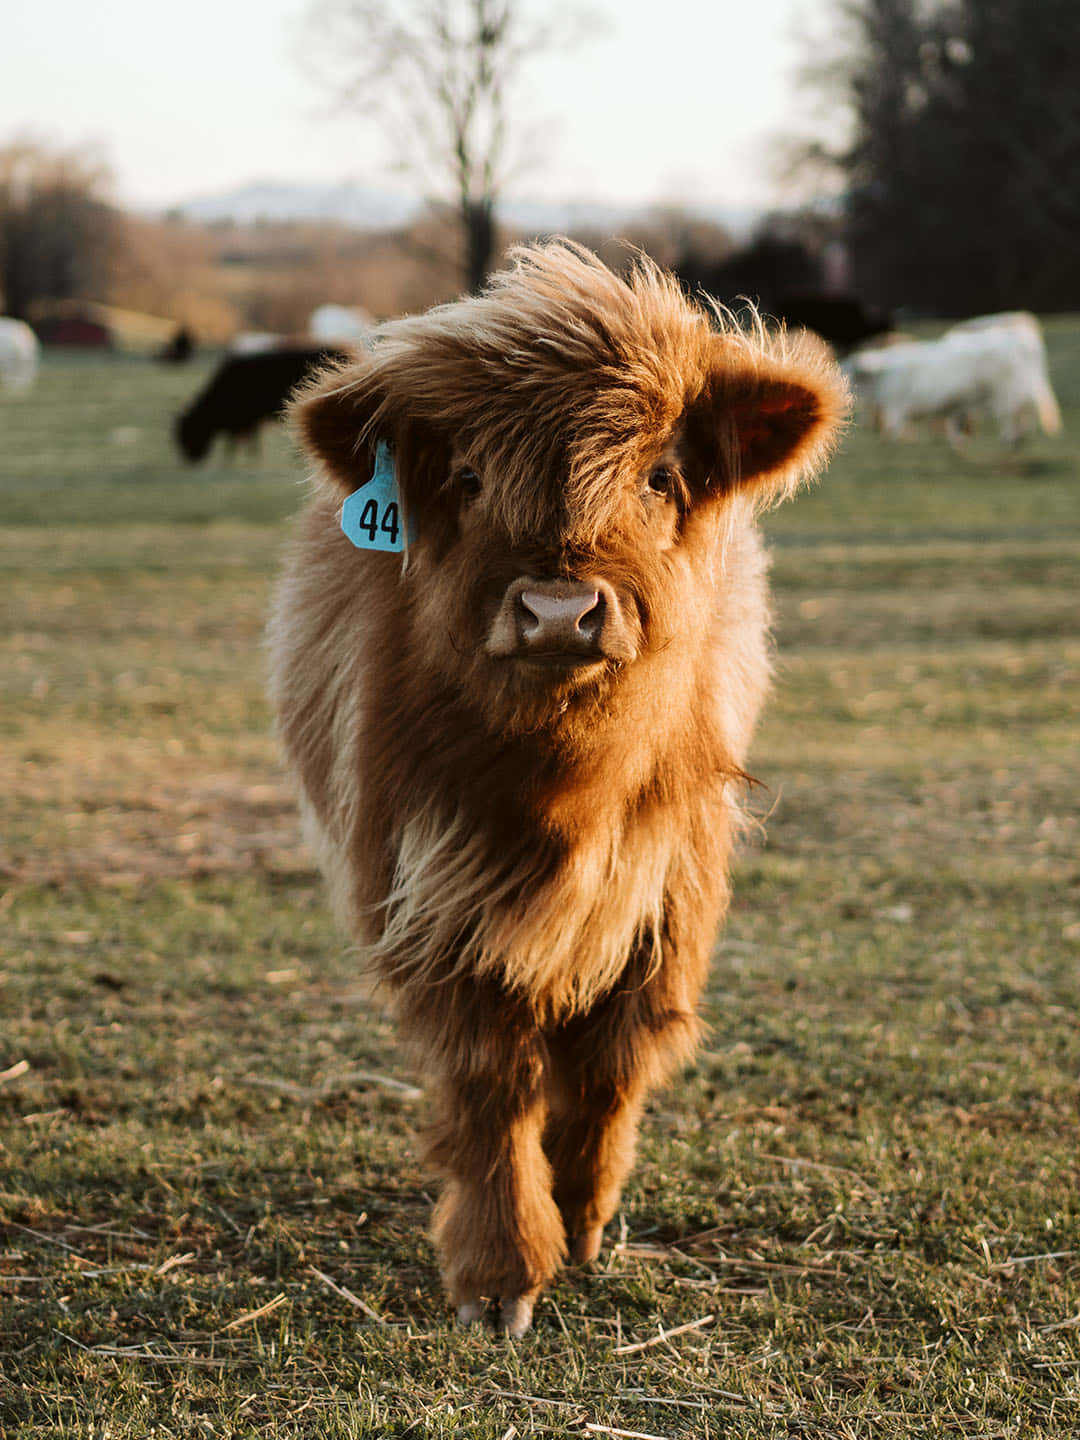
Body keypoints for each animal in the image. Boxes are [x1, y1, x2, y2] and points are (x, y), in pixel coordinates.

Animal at [266, 244, 852, 1336]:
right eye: (467, 475)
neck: (565, 794)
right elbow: (494, 1088)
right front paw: (500, 1277)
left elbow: (613, 1064)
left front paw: (581, 1223)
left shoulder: (670, 887)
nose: (556, 610)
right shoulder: (434, 890)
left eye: (659, 475)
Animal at [846, 312, 1065, 446]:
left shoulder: (897, 407)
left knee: (1012, 413)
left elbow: (894, 430)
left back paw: (1011, 438)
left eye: (851, 370)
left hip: (1009, 389)